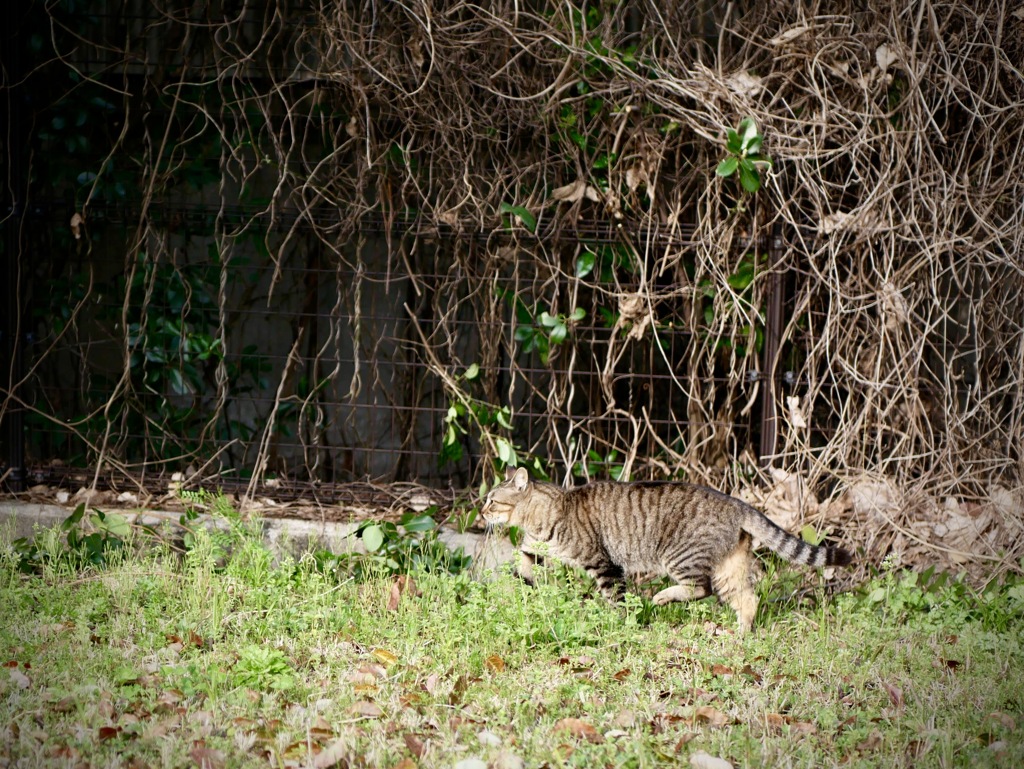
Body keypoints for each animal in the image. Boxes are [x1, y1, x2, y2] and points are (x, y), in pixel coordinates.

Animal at [483, 466, 851, 634]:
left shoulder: (604, 564)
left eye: (492, 501)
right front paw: (524, 583)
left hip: (679, 556)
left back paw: (662, 598)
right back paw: (740, 635)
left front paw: (623, 624)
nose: (481, 510)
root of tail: (736, 503)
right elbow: (522, 559)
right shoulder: (536, 547)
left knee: (700, 588)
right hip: (729, 569)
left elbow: (616, 599)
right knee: (748, 598)